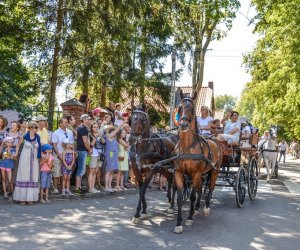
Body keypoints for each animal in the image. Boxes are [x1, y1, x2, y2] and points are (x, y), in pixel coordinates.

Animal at [173, 92, 223, 234]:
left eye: (192, 108)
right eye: (180, 107)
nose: (183, 125)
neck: (187, 147)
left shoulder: (195, 173)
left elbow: (192, 195)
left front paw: (189, 218)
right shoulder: (179, 172)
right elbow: (180, 197)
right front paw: (178, 223)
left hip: (214, 171)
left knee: (210, 187)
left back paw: (206, 208)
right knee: (201, 188)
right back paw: (196, 208)